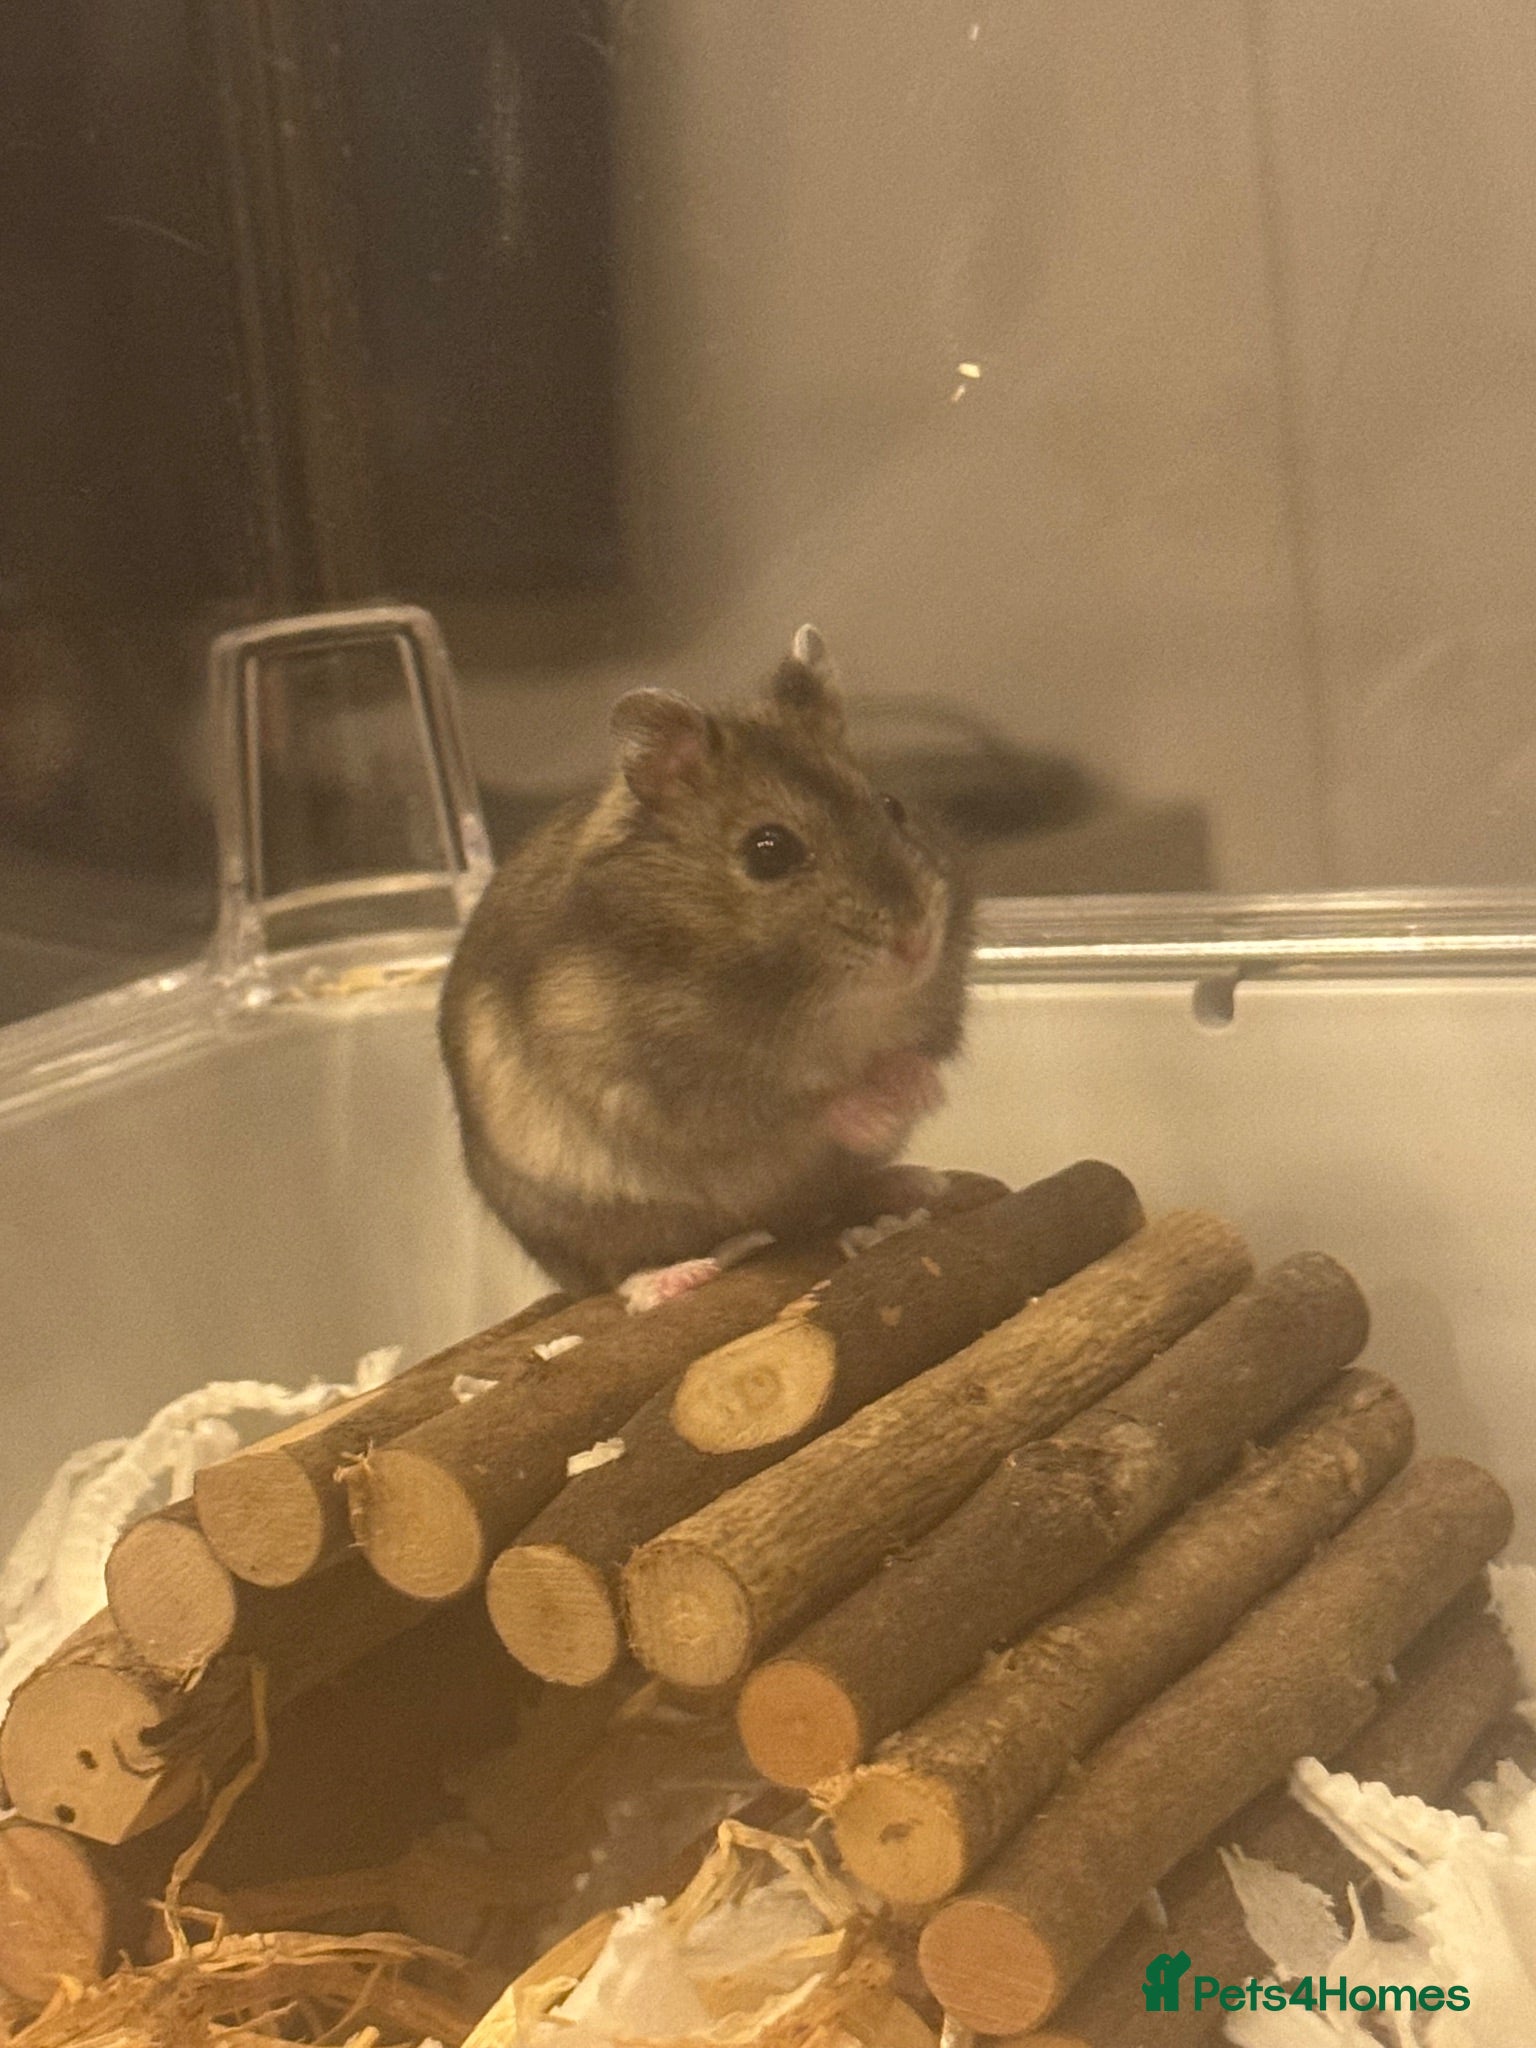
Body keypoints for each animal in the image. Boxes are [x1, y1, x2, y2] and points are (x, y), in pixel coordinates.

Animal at [438, 626, 973, 1297]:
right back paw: (677, 1277)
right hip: (582, 1213)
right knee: (612, 1273)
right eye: (768, 851)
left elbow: (910, 1056)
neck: (838, 1009)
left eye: (892, 806)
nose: (917, 943)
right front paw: (871, 1111)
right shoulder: (678, 1093)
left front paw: (920, 1090)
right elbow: (797, 1112)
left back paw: (915, 1181)